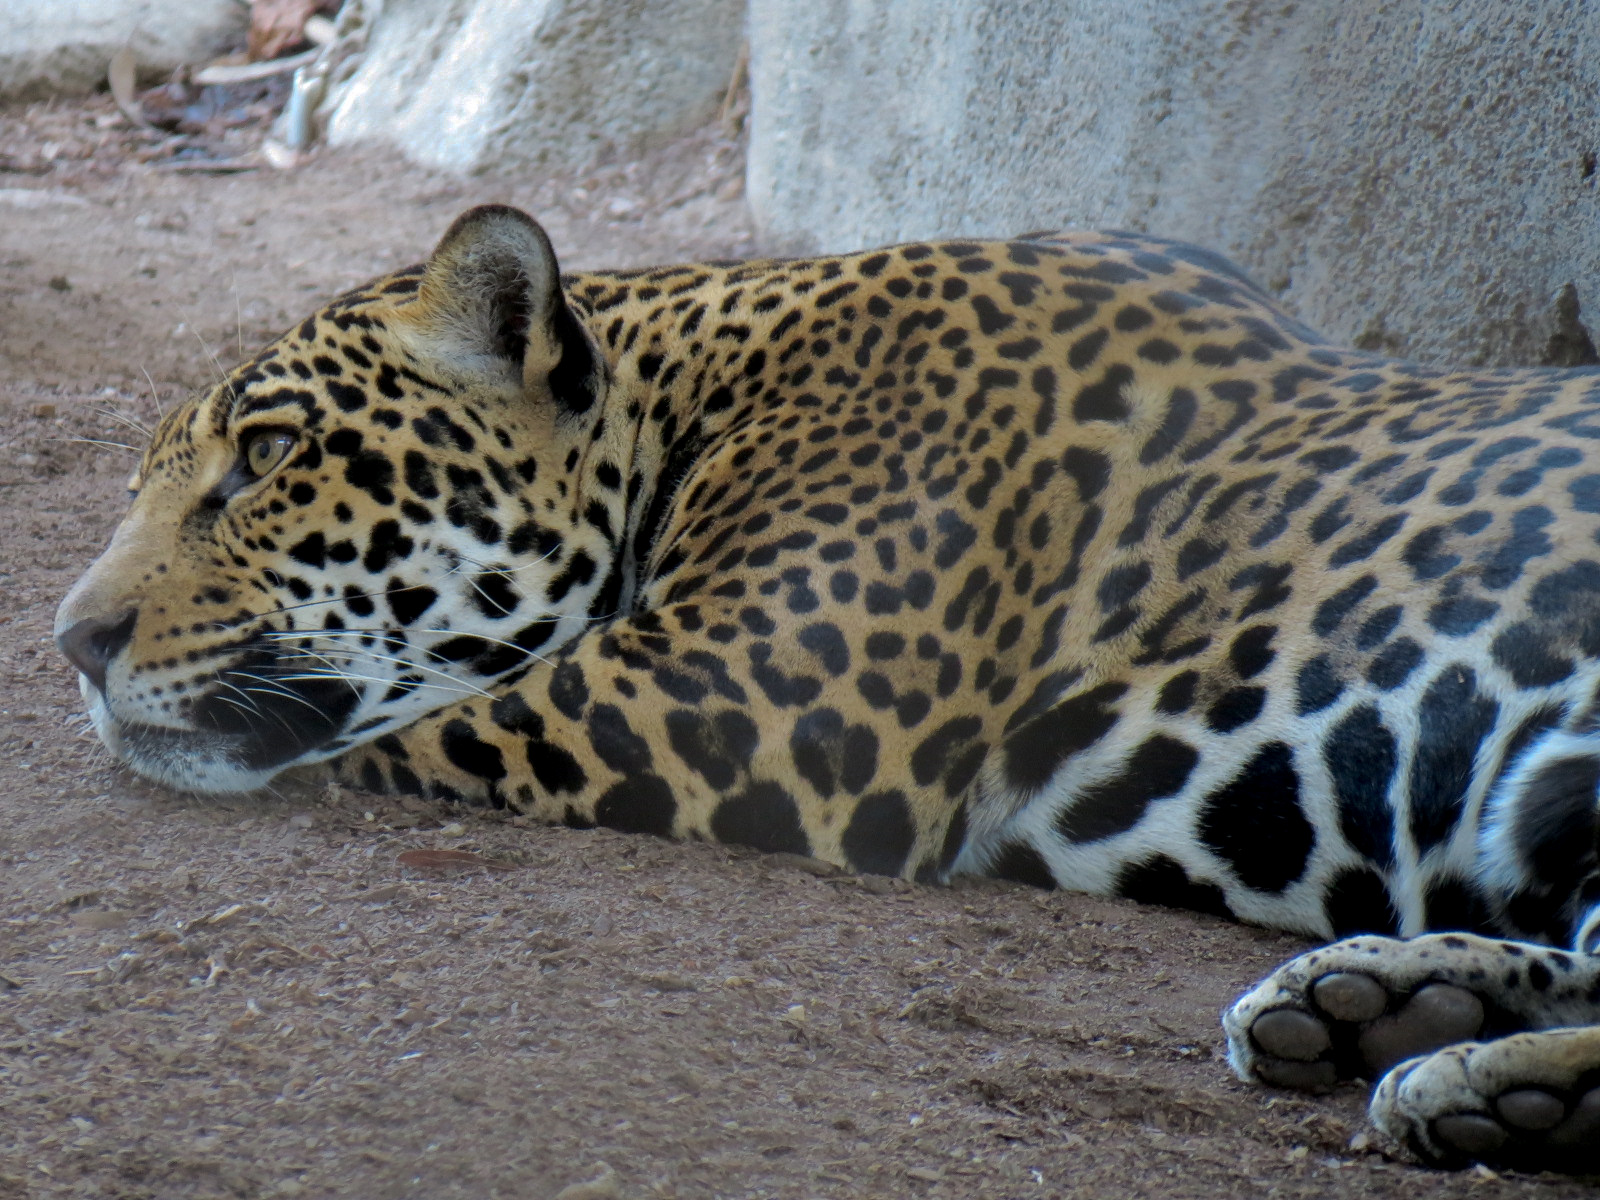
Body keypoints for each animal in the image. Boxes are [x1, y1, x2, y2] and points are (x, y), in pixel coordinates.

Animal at [54, 203, 1600, 1173]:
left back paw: (1456, 1070)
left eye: (268, 457)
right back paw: (1388, 1016)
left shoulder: (722, 699)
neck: (691, 398)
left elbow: (395, 733)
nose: (74, 640)